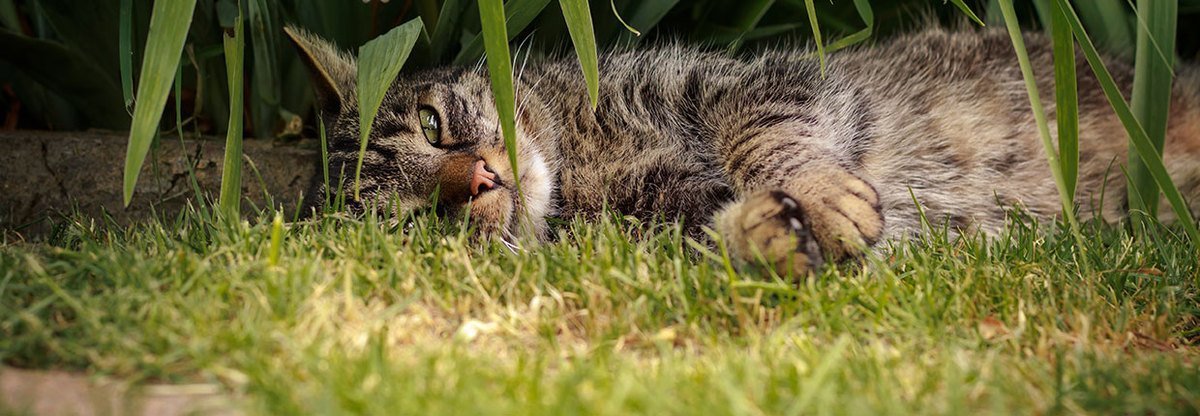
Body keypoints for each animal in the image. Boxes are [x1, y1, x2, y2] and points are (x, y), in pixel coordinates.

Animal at [283, 26, 1200, 276]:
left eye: (433, 125)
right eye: (414, 221)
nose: (476, 180)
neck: (580, 166)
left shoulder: (743, 83)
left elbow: (769, 135)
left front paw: (820, 195)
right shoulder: (649, 227)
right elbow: (703, 234)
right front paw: (764, 232)